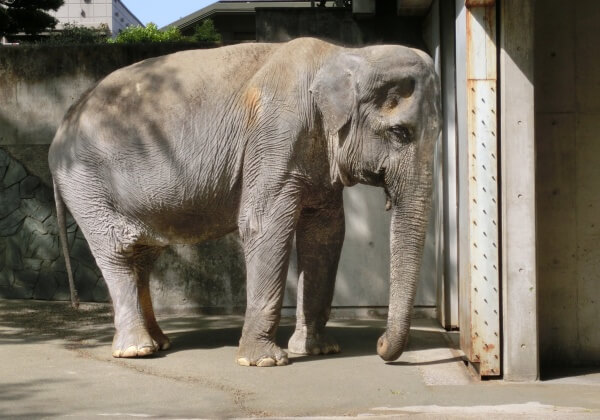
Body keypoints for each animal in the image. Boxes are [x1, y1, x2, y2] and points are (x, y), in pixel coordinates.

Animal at [48, 37, 440, 366]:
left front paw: (318, 350)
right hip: (86, 184)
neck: (345, 54)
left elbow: (325, 234)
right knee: (117, 251)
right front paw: (264, 361)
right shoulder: (275, 134)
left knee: (142, 256)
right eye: (399, 132)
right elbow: (264, 225)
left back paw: (159, 343)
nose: (380, 345)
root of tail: (63, 122)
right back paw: (137, 350)